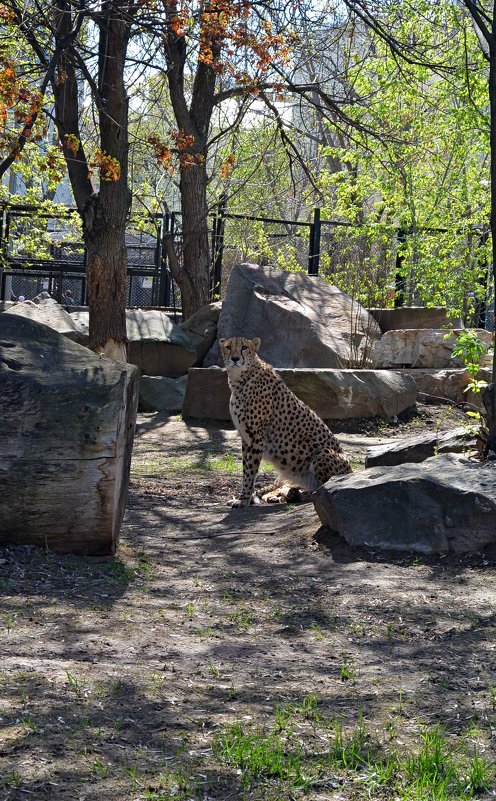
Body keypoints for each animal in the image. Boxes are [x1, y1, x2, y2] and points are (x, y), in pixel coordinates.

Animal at [219, 336, 350, 506]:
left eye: (244, 347)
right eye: (228, 347)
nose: (235, 359)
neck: (240, 379)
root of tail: (351, 471)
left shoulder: (257, 437)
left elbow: (250, 471)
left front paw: (244, 500)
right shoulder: (246, 439)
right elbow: (245, 469)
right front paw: (245, 497)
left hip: (322, 453)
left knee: (324, 487)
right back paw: (291, 495)